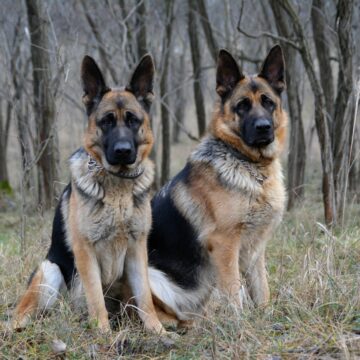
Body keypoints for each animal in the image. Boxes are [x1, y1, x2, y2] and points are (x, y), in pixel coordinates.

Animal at [12, 54, 165, 334]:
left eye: (133, 120)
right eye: (106, 121)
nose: (123, 151)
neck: (117, 186)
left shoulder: (137, 249)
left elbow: (145, 297)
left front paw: (158, 331)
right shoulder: (86, 251)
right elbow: (95, 298)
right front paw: (104, 334)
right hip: (50, 270)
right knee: (23, 313)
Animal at [146, 44, 286, 326]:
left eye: (268, 102)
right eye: (242, 106)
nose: (263, 128)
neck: (250, 166)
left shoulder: (255, 250)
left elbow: (261, 289)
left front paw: (265, 319)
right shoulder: (225, 244)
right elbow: (233, 292)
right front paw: (240, 327)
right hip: (151, 275)